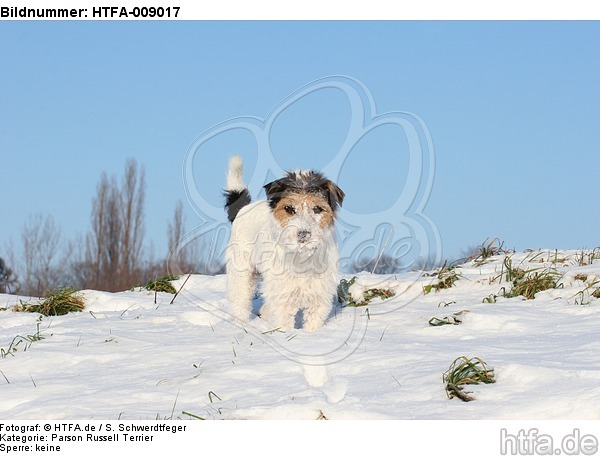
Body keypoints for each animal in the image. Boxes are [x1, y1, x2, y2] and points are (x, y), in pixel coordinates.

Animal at [223, 156, 344, 332]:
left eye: (317, 209)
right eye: (289, 208)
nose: (303, 234)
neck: (301, 256)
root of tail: (242, 209)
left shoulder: (319, 296)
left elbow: (313, 322)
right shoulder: (282, 296)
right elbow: (283, 321)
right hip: (242, 275)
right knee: (241, 301)